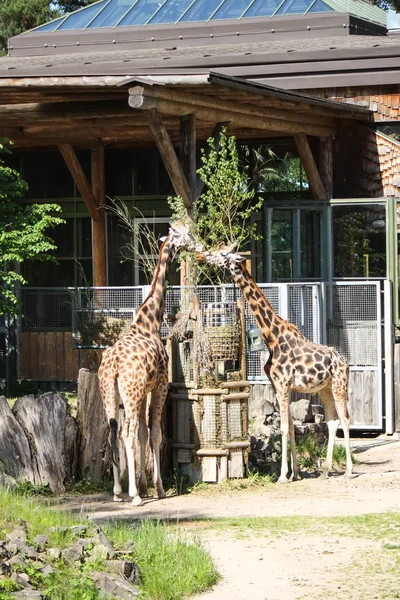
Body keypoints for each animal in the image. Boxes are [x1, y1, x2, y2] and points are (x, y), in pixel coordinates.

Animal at [98, 221, 200, 506]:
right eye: (185, 234)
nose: (197, 244)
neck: (149, 321)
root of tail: (113, 367)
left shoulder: (144, 391)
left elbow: (144, 434)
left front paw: (145, 486)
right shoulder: (160, 386)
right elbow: (154, 433)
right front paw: (157, 488)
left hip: (110, 395)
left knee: (113, 432)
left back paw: (117, 491)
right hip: (130, 395)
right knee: (127, 434)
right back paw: (132, 495)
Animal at [198, 244, 352, 482]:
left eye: (222, 253)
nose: (200, 256)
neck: (273, 337)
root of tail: (345, 362)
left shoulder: (283, 384)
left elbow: (284, 428)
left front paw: (282, 476)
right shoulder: (278, 385)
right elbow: (290, 427)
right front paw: (295, 473)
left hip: (339, 385)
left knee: (345, 419)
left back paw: (349, 472)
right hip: (324, 388)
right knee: (333, 420)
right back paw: (326, 470)